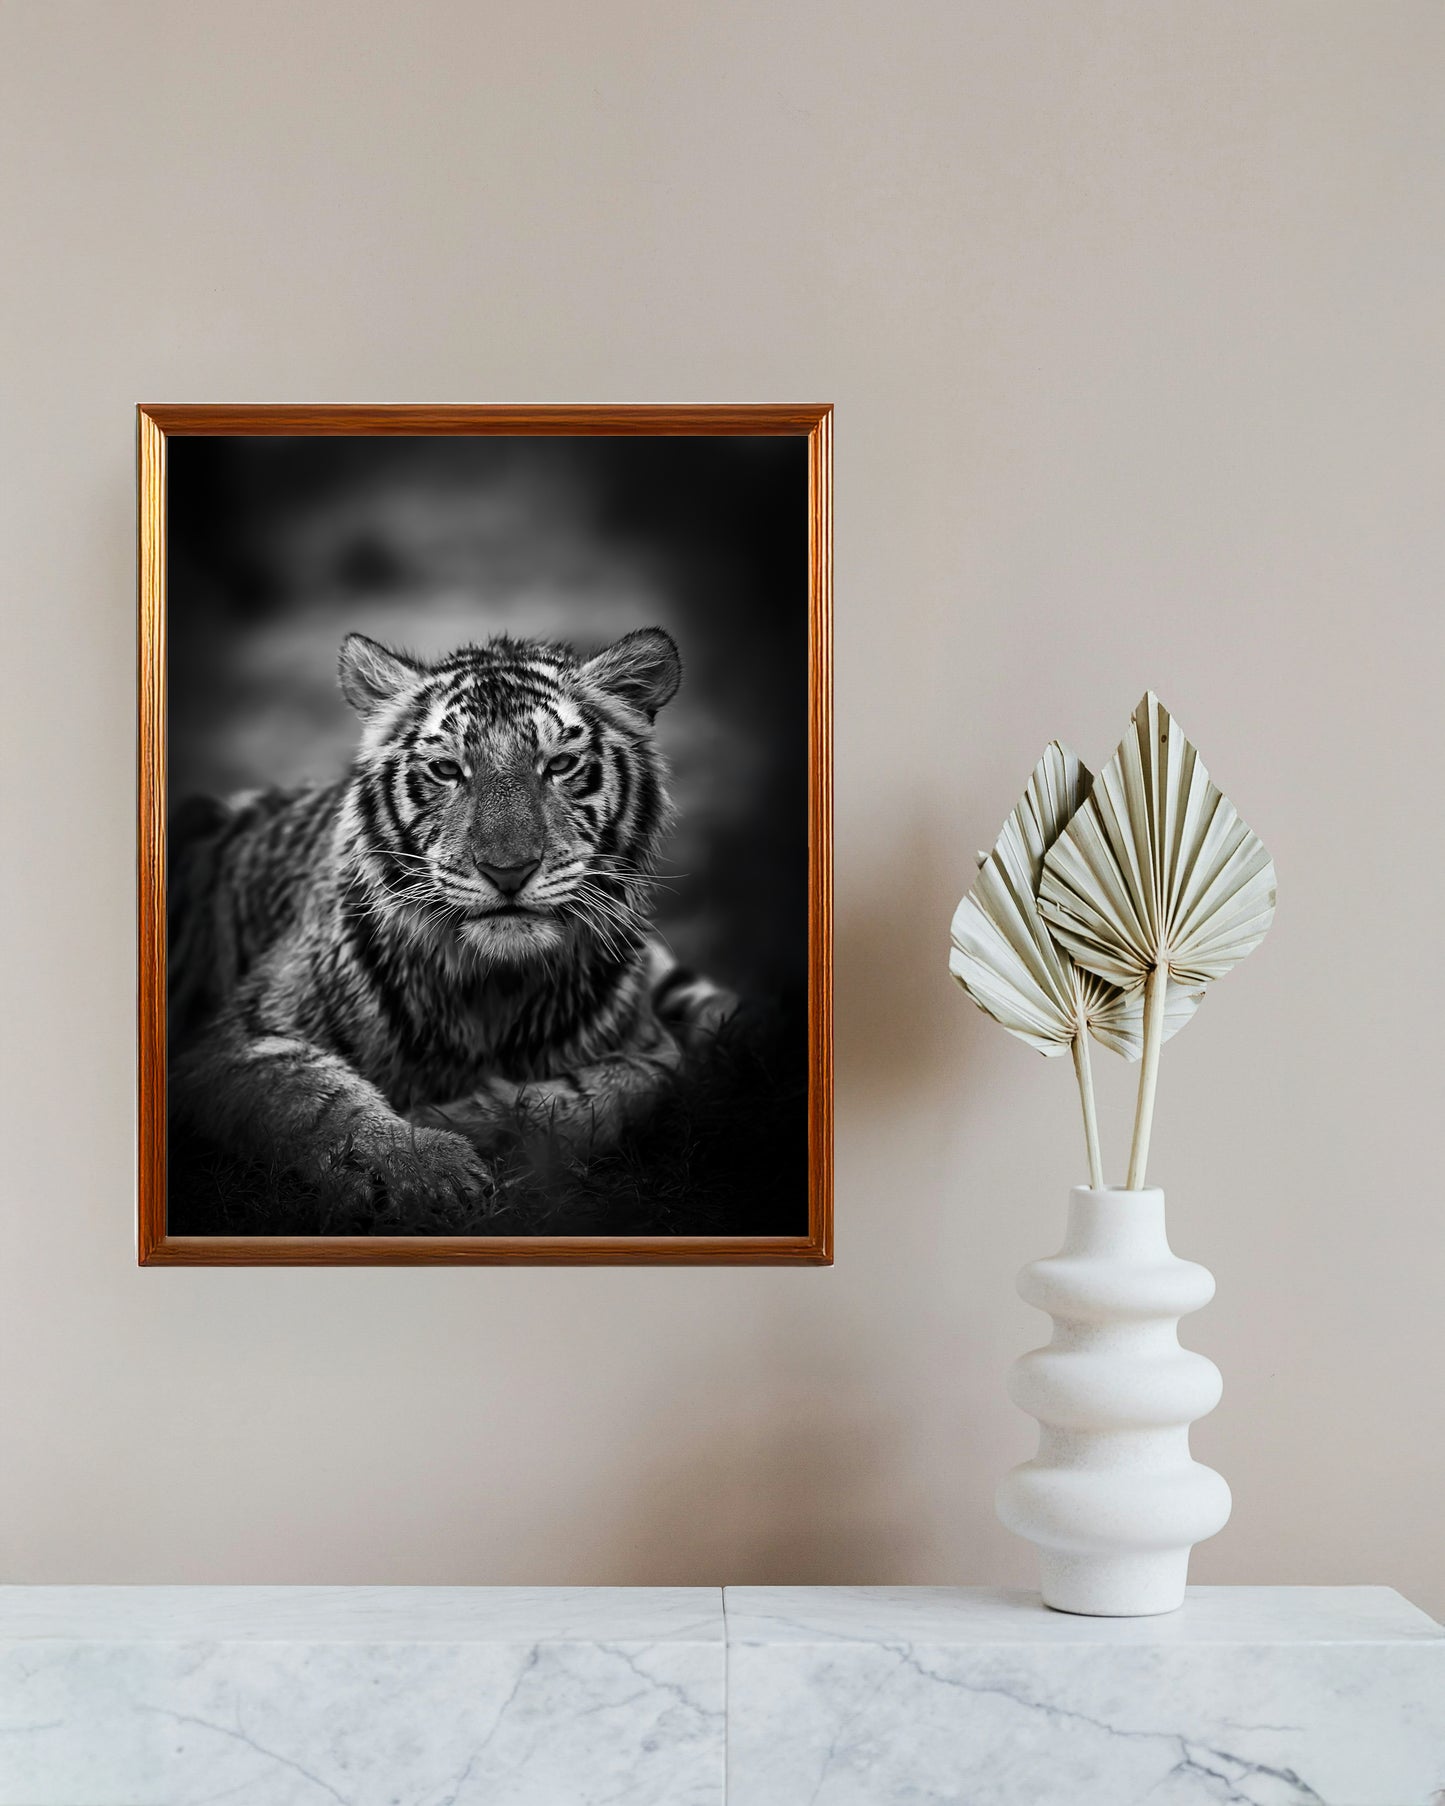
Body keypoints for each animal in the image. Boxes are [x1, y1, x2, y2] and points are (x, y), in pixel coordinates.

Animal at [167, 625, 735, 1210]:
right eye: (446, 770)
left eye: (558, 766)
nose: (508, 871)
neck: (492, 987)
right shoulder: (234, 1043)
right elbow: (320, 1102)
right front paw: (424, 1166)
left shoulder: (650, 1050)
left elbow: (604, 1097)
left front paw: (451, 1120)